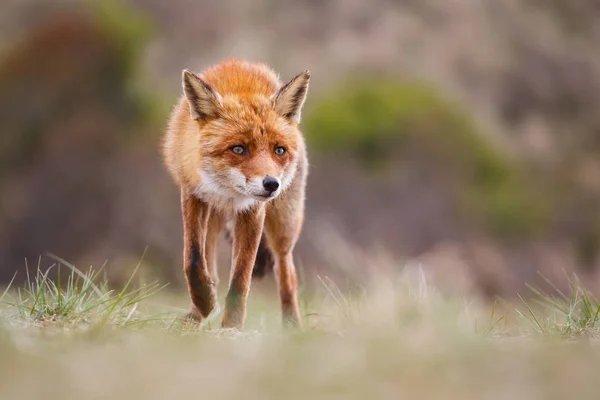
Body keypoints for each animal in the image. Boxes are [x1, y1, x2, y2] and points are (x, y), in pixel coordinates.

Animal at [163, 58, 310, 328]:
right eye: (239, 149)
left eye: (279, 150)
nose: (271, 184)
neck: (228, 193)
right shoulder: (192, 194)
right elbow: (193, 260)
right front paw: (205, 301)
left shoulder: (253, 211)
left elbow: (241, 279)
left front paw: (231, 327)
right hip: (213, 217)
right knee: (209, 263)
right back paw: (197, 313)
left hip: (284, 224)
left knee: (287, 273)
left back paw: (293, 326)